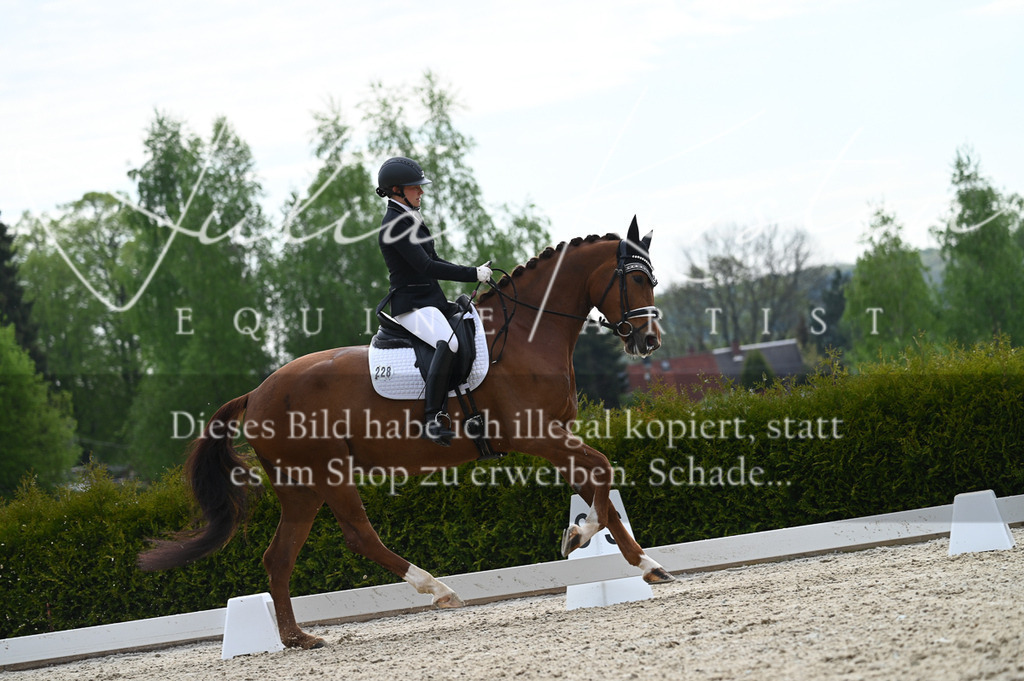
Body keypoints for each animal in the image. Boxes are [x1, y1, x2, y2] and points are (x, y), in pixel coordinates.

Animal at [138, 216, 670, 650]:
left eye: (653, 279)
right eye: (636, 279)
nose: (648, 341)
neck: (524, 336)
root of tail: (256, 393)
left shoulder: (557, 435)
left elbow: (598, 484)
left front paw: (640, 562)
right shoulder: (535, 434)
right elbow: (602, 471)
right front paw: (581, 536)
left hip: (301, 486)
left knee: (279, 557)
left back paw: (298, 638)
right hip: (327, 472)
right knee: (358, 535)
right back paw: (438, 589)